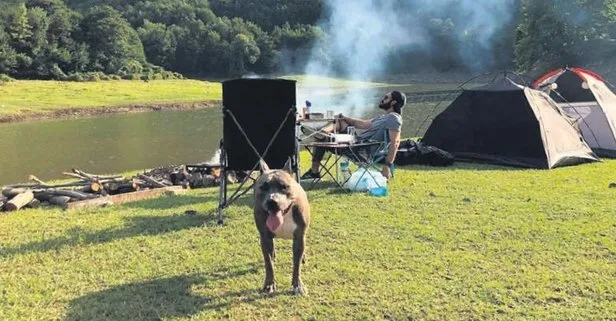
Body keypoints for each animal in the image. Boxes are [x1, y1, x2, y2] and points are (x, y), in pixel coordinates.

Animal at [253, 158, 310, 296]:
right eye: (263, 187)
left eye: (284, 187)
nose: (272, 201)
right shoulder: (265, 238)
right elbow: (269, 264)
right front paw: (269, 285)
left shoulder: (299, 238)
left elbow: (297, 264)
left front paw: (298, 285)